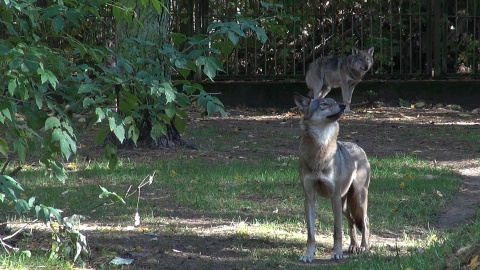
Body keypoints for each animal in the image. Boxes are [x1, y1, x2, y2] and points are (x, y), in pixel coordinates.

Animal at [292, 94, 372, 262]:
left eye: (335, 101)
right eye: (323, 104)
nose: (343, 105)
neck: (320, 154)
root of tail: (359, 147)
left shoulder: (334, 196)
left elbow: (337, 230)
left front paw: (337, 253)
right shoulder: (309, 197)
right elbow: (311, 233)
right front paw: (308, 254)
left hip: (358, 198)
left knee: (365, 221)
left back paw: (364, 247)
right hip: (344, 205)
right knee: (352, 221)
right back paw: (353, 246)